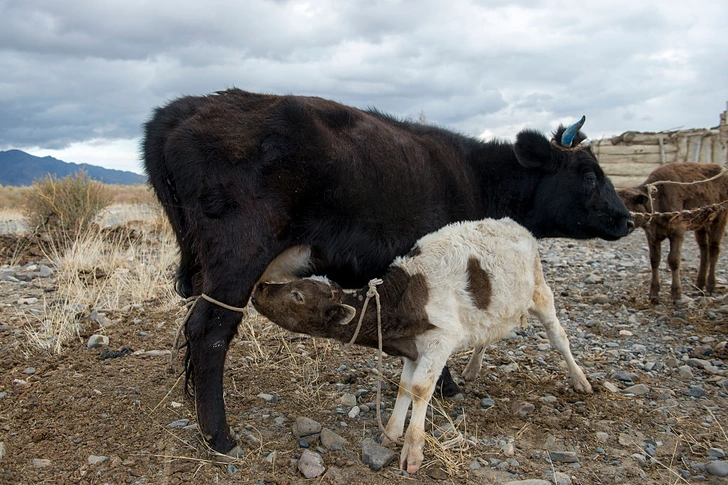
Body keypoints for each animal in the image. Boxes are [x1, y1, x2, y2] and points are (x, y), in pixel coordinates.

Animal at [250, 218, 592, 472]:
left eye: (297, 295)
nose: (261, 288)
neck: (403, 299)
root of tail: (513, 224)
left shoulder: (440, 340)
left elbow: (419, 388)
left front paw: (412, 450)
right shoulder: (413, 347)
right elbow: (404, 386)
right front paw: (390, 433)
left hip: (539, 290)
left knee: (559, 337)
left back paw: (580, 380)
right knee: (487, 335)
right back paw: (473, 368)